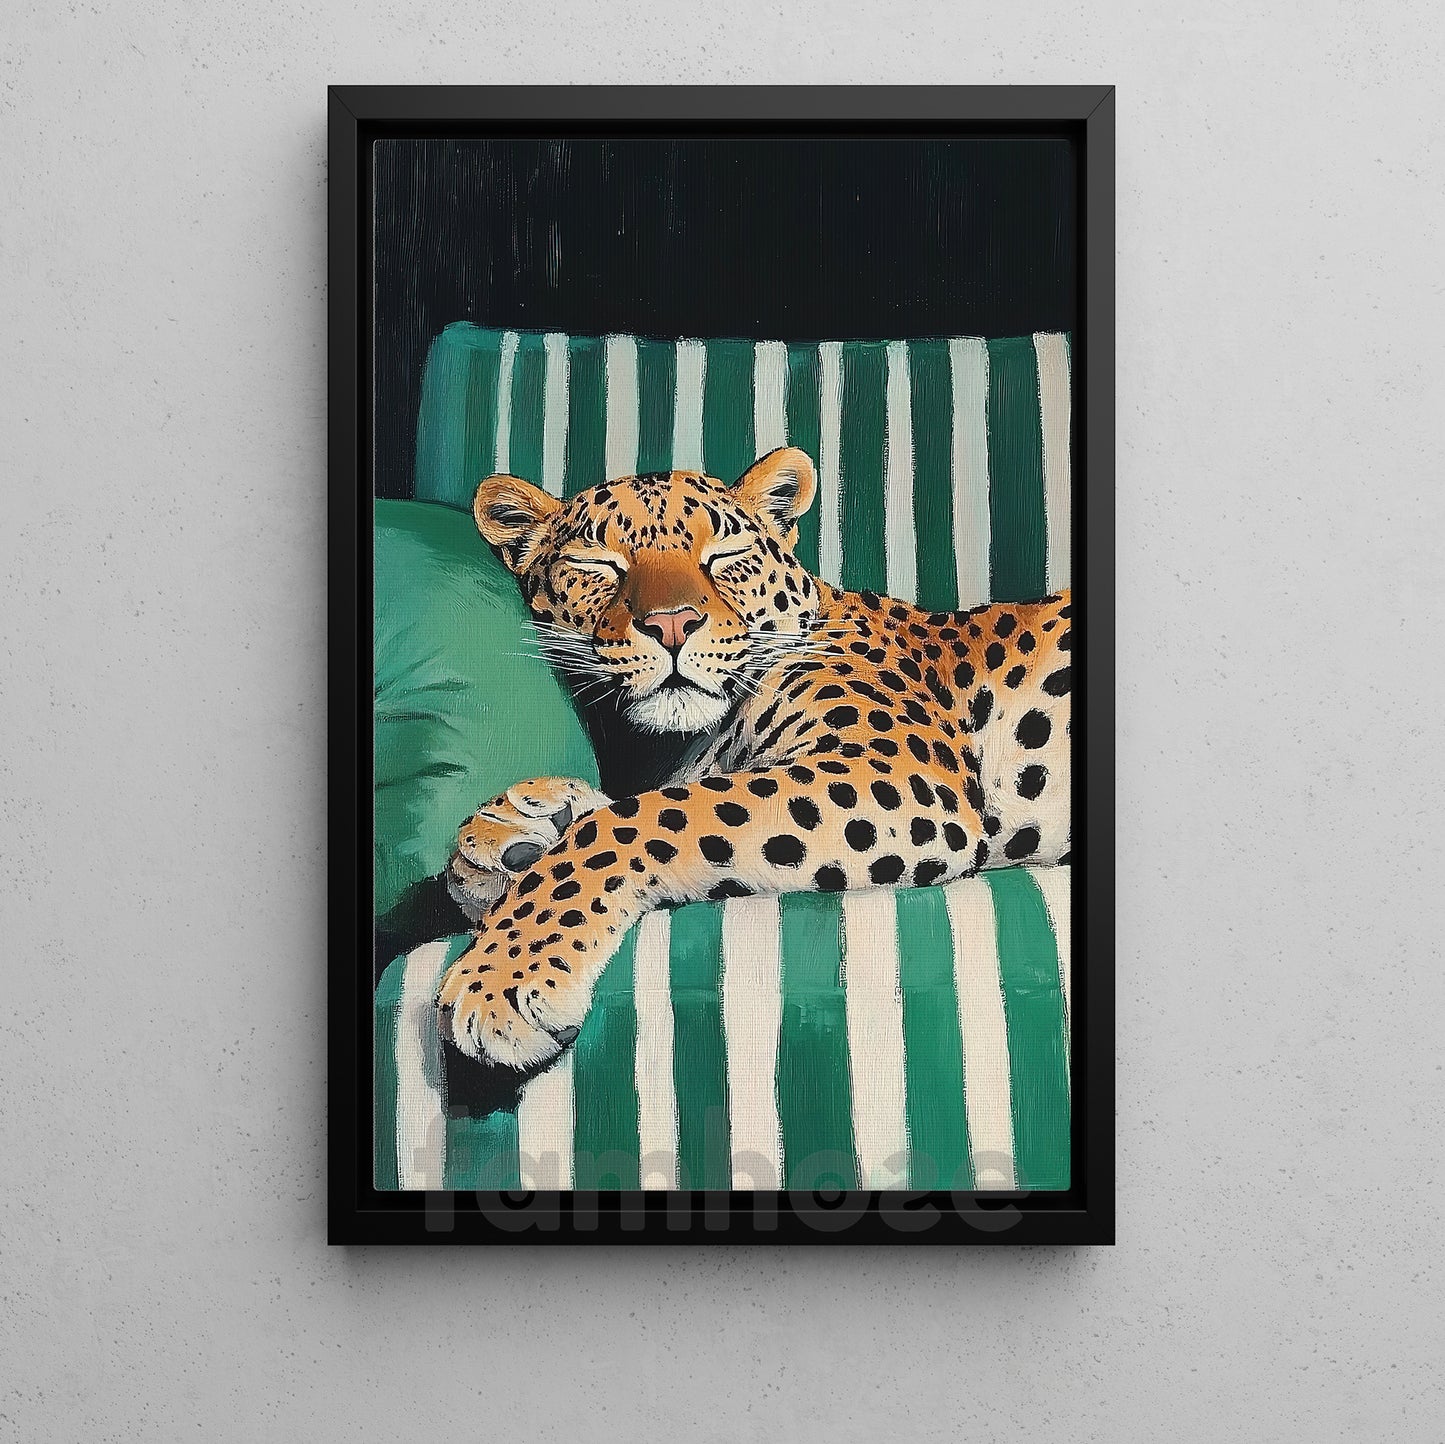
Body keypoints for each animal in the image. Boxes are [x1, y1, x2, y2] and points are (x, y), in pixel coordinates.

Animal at [435, 446, 1072, 1071]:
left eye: (726, 556)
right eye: (598, 563)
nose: (672, 625)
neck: (668, 744)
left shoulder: (900, 772)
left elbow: (638, 817)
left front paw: (501, 976)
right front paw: (505, 835)